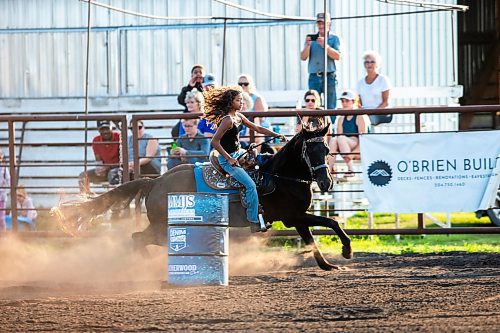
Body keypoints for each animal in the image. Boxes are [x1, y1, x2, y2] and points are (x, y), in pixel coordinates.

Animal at [55, 124, 352, 270]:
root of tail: (155, 182)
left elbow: (312, 240)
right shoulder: (293, 216)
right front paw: (347, 251)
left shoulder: (296, 219)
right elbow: (332, 223)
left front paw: (328, 266)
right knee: (140, 238)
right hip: (164, 226)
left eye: (326, 149)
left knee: (137, 238)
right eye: (309, 151)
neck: (281, 176)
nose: (326, 181)